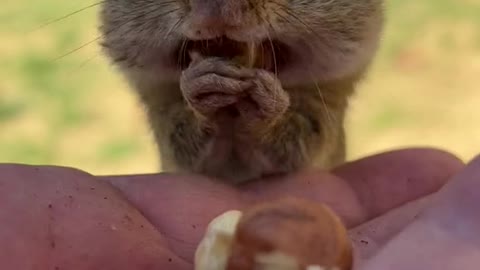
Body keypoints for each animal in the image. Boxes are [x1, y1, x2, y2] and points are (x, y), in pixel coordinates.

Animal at [97, 0, 382, 184]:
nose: (214, 7)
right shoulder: (161, 109)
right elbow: (181, 144)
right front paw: (200, 87)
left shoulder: (325, 108)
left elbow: (298, 147)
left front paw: (266, 104)